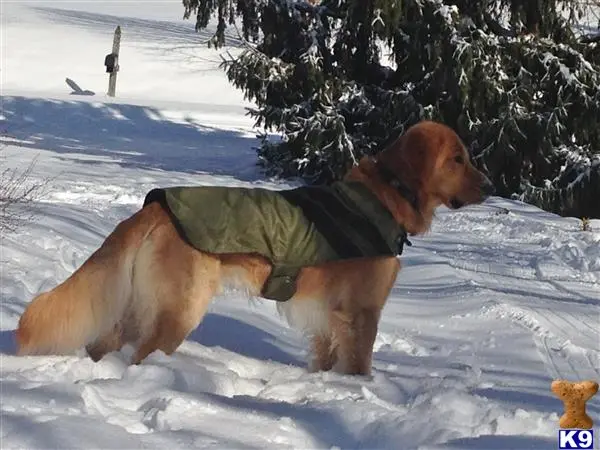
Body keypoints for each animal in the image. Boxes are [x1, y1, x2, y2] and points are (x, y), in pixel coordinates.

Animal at [16, 121, 494, 374]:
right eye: (458, 159)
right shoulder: (362, 311)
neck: (389, 193)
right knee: (142, 355)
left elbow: (326, 357)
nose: (490, 186)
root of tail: (157, 206)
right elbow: (359, 364)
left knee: (105, 345)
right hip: (178, 310)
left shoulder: (328, 316)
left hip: (139, 306)